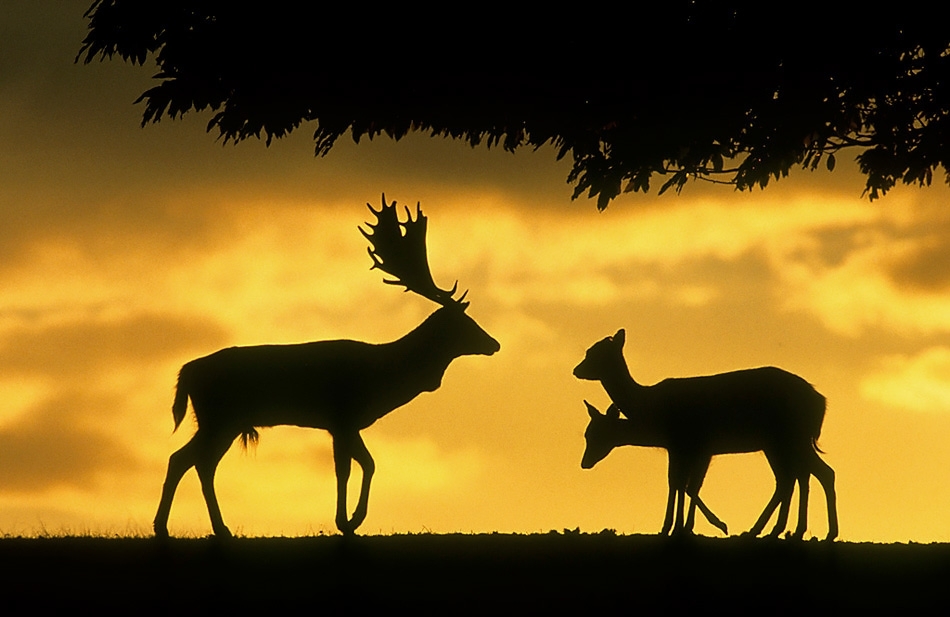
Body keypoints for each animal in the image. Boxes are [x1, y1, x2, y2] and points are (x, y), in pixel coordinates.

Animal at [153, 195, 500, 538]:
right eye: (465, 322)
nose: (494, 343)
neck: (384, 376)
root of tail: (187, 370)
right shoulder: (343, 416)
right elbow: (348, 468)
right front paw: (348, 522)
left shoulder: (345, 424)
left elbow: (364, 464)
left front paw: (350, 520)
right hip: (219, 418)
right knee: (194, 462)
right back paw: (198, 527)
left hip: (221, 421)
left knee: (185, 460)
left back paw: (183, 527)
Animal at [575, 329, 838, 541]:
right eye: (587, 434)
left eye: (594, 353)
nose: (576, 369)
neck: (650, 408)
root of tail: (820, 402)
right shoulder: (686, 448)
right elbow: (681, 483)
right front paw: (678, 527)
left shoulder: (692, 444)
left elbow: (686, 485)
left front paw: (683, 528)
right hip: (783, 442)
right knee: (807, 475)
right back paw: (790, 531)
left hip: (787, 438)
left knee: (800, 476)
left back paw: (782, 531)